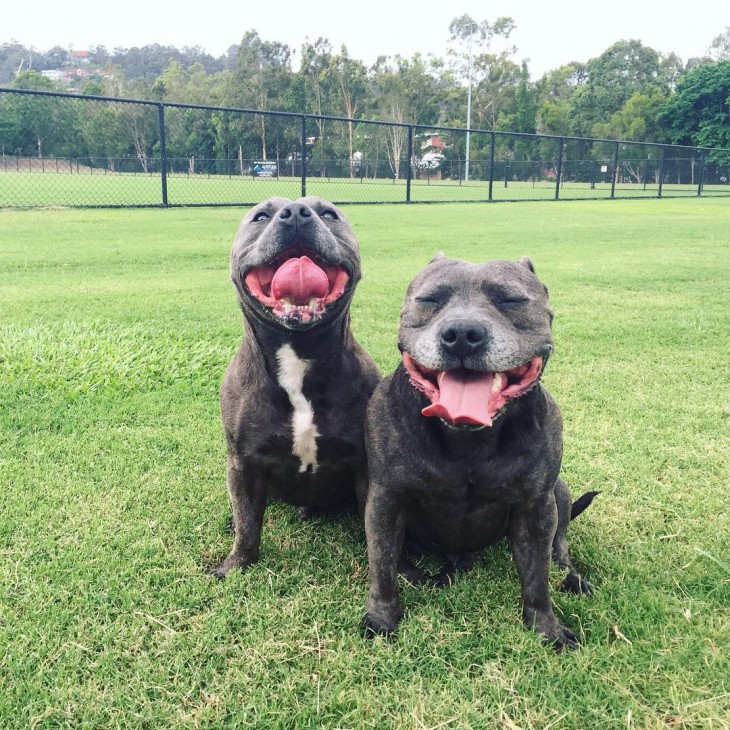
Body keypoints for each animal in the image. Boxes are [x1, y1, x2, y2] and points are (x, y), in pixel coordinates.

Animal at [212, 196, 378, 576]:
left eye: (329, 213)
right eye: (260, 217)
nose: (296, 214)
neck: (298, 356)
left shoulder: (365, 465)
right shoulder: (243, 463)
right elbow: (248, 523)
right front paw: (238, 563)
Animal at [362, 255, 596, 648]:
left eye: (512, 300)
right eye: (429, 300)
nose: (461, 334)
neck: (468, 441)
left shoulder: (537, 505)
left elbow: (537, 576)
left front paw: (545, 627)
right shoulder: (385, 497)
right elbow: (381, 565)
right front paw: (381, 617)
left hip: (558, 491)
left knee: (560, 544)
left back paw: (572, 576)